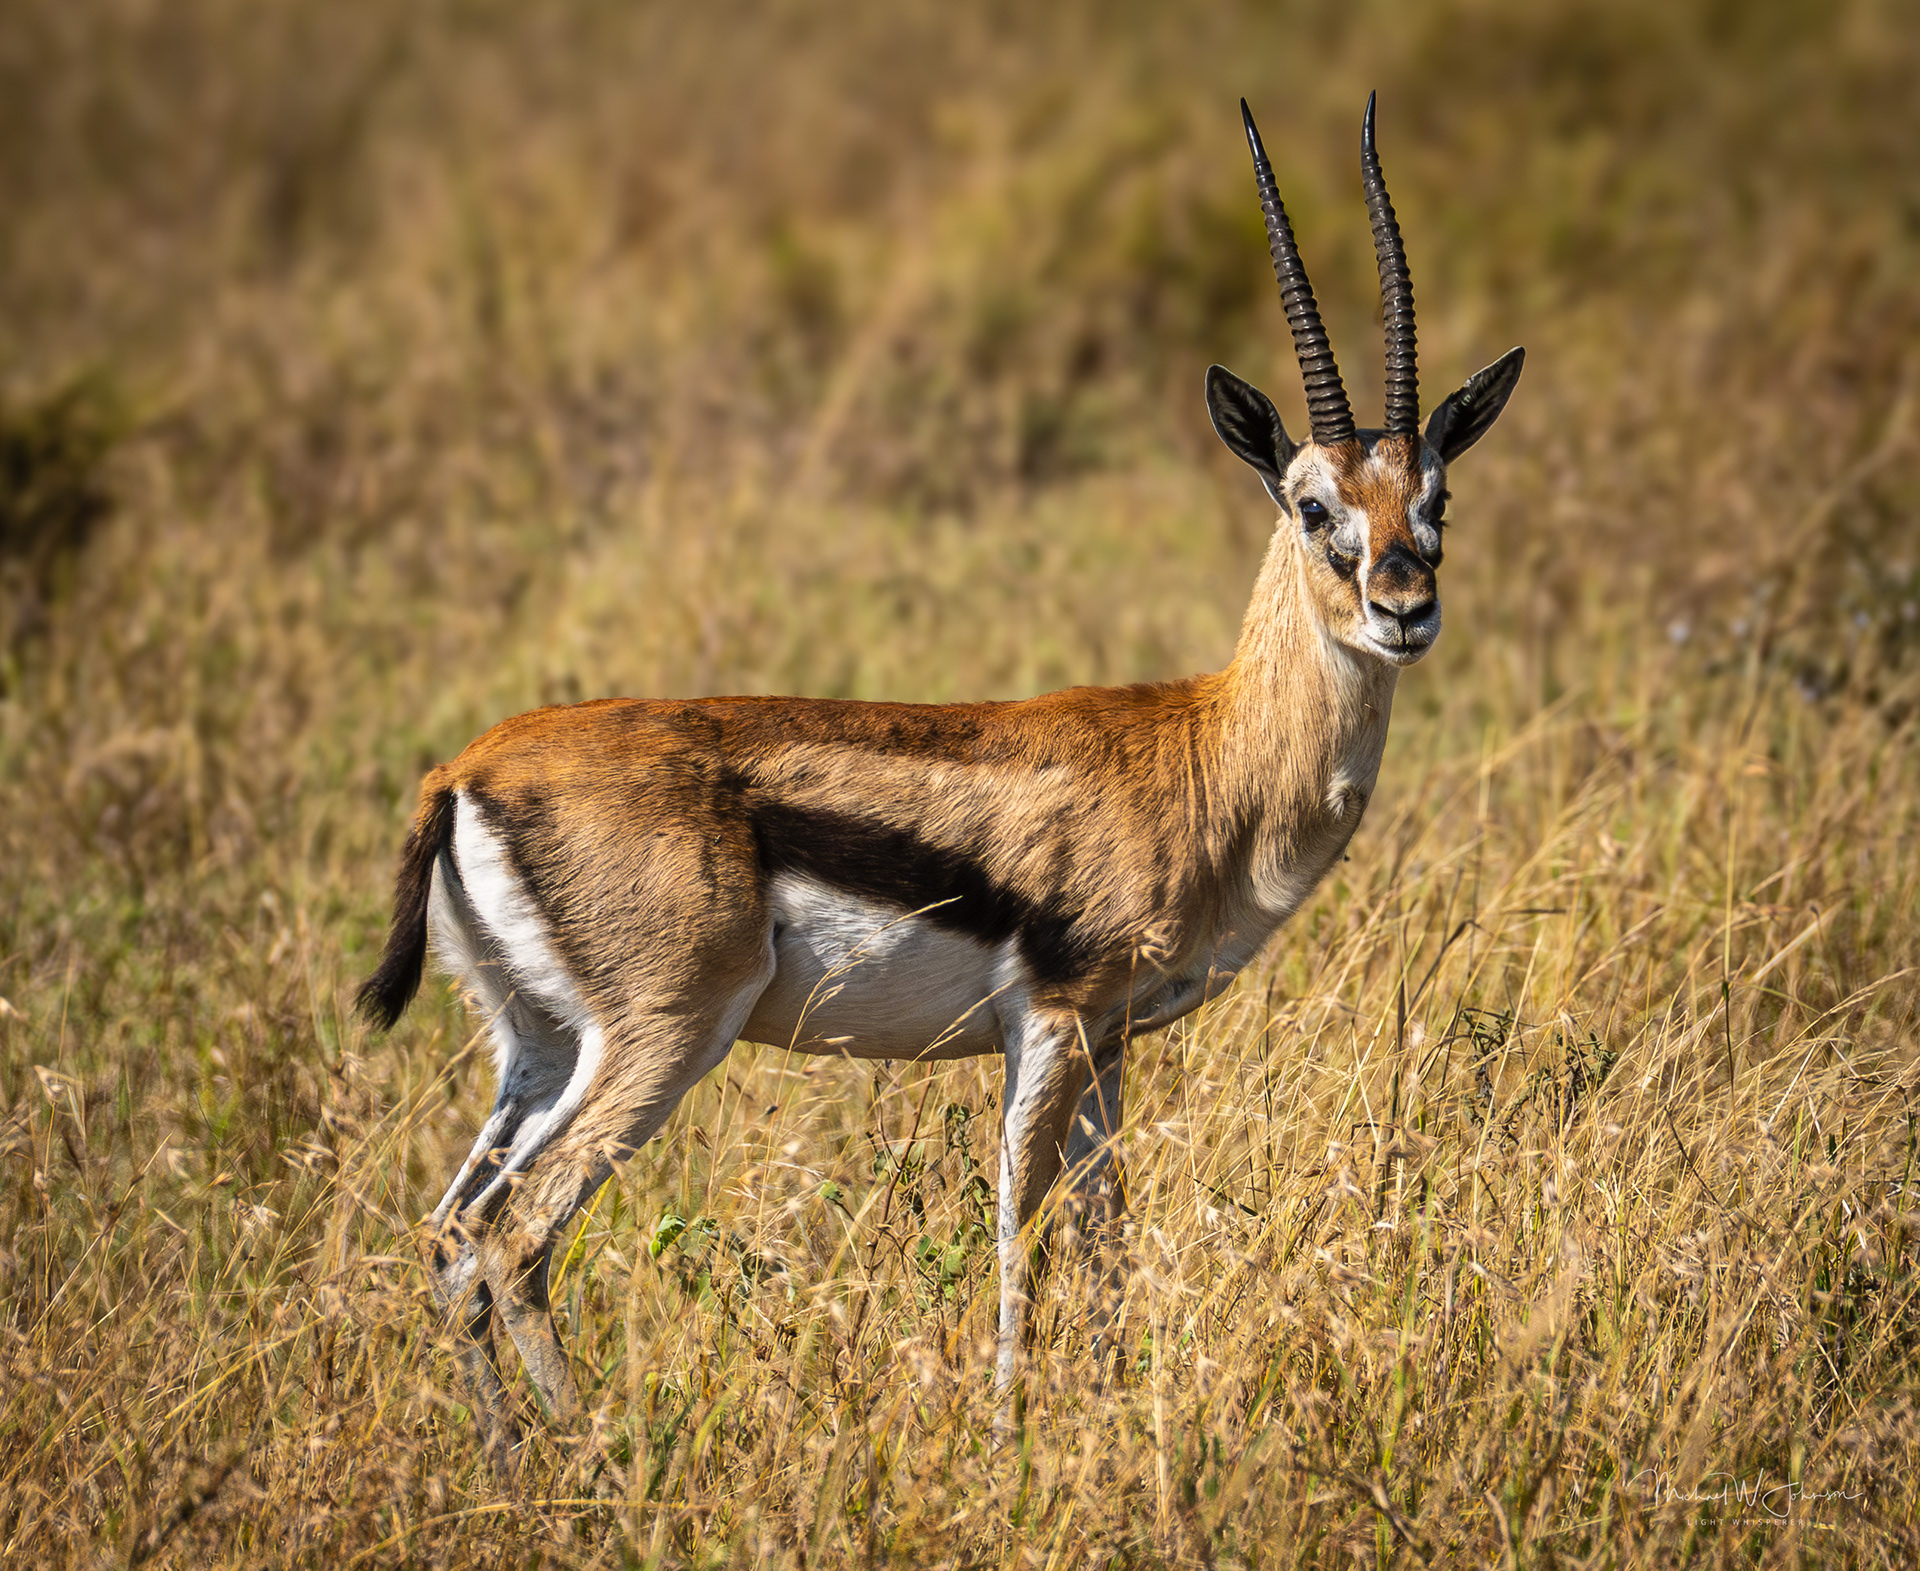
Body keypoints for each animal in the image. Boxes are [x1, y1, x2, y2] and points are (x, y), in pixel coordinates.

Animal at [358, 93, 1523, 1477]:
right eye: (1310, 502)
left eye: (1437, 495)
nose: (1405, 604)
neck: (1206, 751)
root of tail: (465, 768)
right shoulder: (1053, 1019)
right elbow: (1020, 1225)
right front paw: (1011, 1438)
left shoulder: (1111, 1040)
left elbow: (1104, 1231)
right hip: (662, 1035)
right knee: (515, 1234)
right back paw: (600, 1471)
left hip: (537, 1043)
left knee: (450, 1231)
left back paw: (504, 1471)